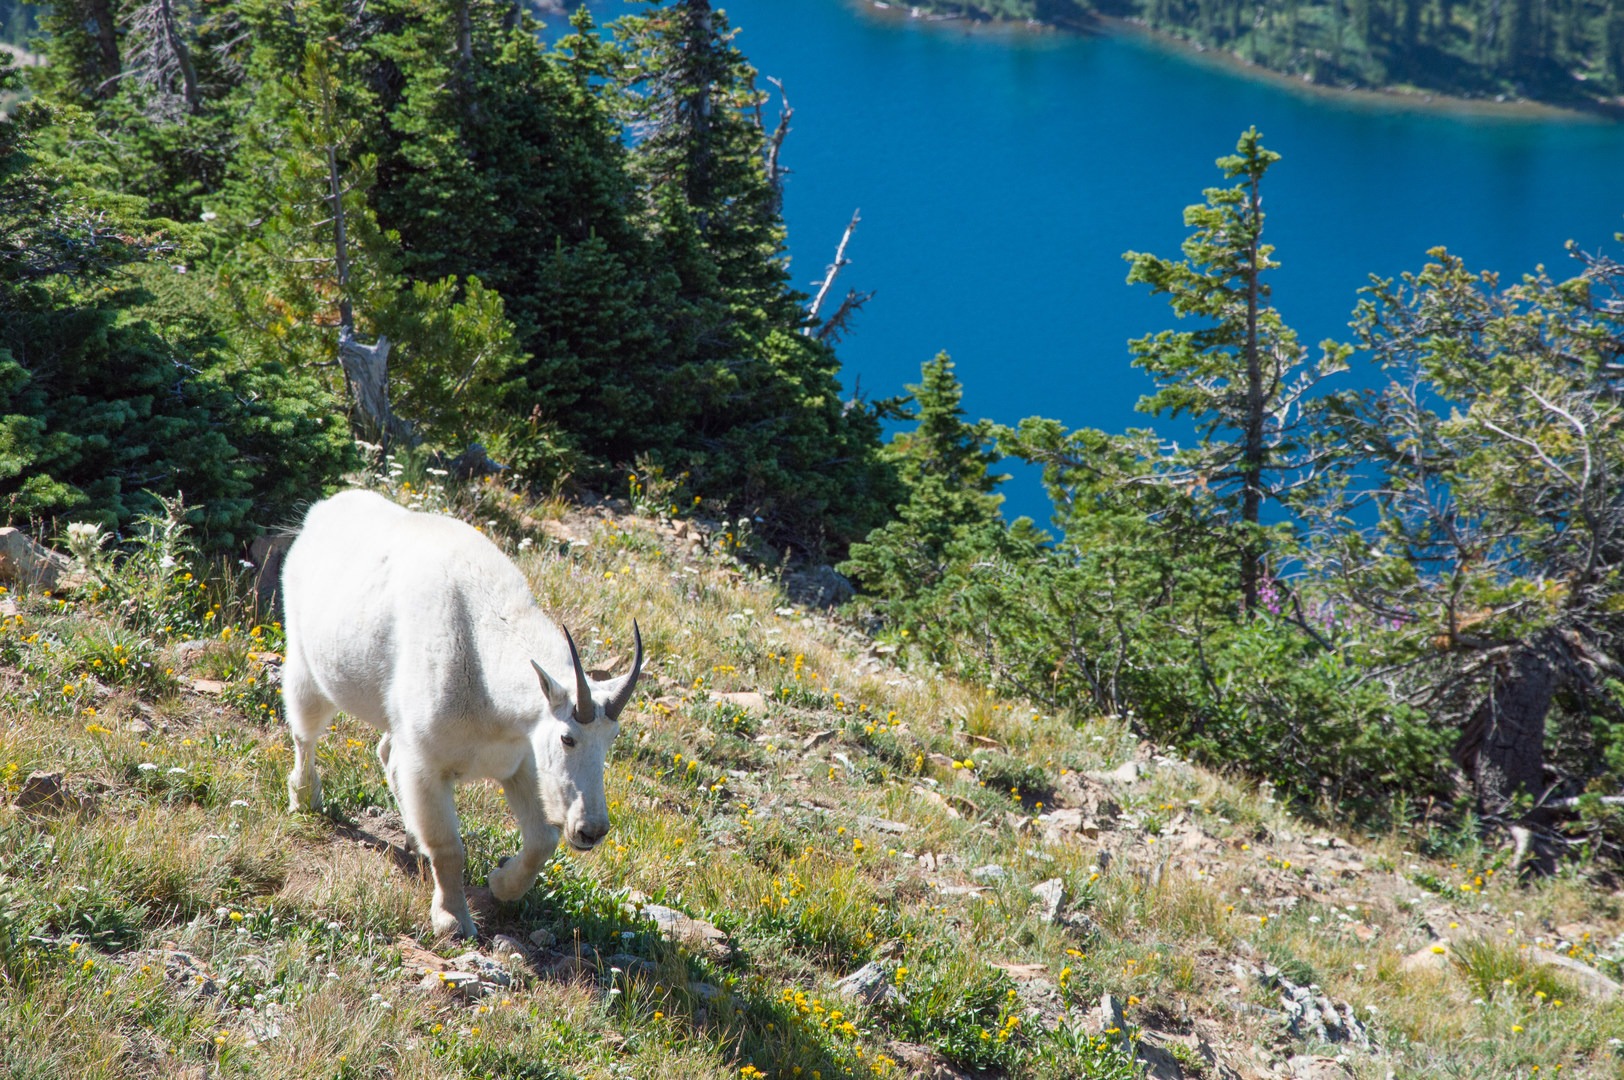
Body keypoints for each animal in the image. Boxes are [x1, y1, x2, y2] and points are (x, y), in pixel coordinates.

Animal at [279, 487, 639, 935]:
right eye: (567, 737)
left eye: (611, 741)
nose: (591, 830)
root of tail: (318, 513)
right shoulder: (427, 764)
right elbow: (449, 846)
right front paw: (452, 920)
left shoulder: (521, 762)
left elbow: (542, 841)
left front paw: (501, 882)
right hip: (306, 665)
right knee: (305, 733)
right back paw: (305, 798)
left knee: (386, 753)